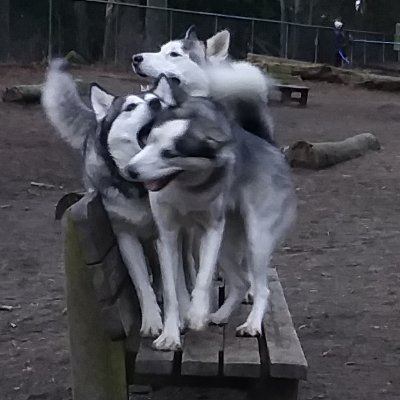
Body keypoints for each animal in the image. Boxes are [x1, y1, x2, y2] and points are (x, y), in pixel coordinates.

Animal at [42, 60, 172, 338]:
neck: (139, 186)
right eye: (130, 107)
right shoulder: (125, 236)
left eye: (156, 100)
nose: (157, 104)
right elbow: (141, 282)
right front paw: (152, 319)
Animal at [126, 77, 296, 350]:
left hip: (256, 241)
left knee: (261, 288)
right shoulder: (168, 236)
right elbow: (172, 293)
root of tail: (268, 145)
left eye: (170, 153)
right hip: (226, 246)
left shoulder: (212, 231)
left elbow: (203, 280)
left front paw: (196, 314)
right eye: (148, 140)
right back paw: (220, 315)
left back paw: (251, 324)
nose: (130, 170)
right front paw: (171, 334)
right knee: (240, 283)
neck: (186, 186)